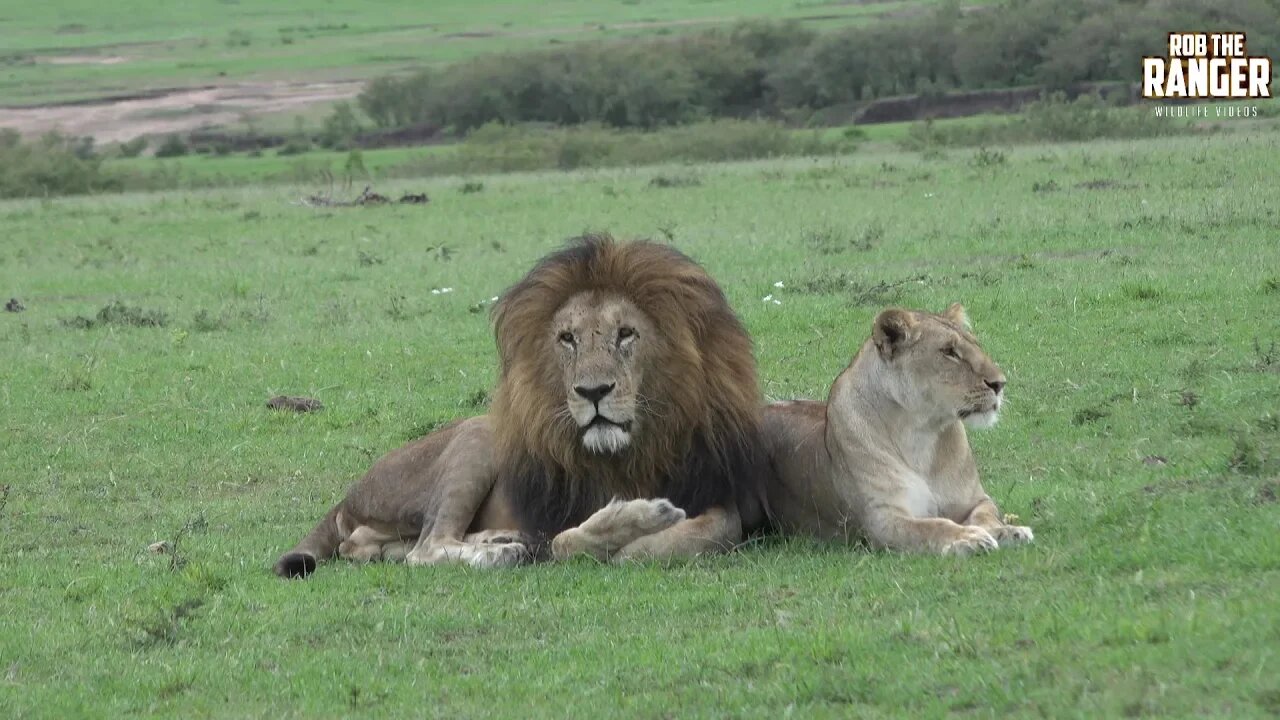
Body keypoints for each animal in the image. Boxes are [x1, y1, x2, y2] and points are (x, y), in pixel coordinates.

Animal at [273, 235, 762, 576]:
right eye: (568, 338)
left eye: (626, 334)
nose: (593, 392)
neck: (627, 454)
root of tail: (347, 496)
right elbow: (568, 541)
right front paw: (635, 524)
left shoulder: (711, 490)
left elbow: (710, 531)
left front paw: (646, 539)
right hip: (477, 437)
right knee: (426, 547)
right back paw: (502, 553)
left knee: (377, 547)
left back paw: (498, 539)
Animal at [762, 299, 1034, 550]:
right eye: (949, 351)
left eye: (975, 345)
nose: (1000, 384)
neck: (921, 433)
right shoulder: (883, 520)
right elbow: (933, 526)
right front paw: (967, 538)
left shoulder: (976, 499)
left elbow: (986, 515)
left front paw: (1010, 531)